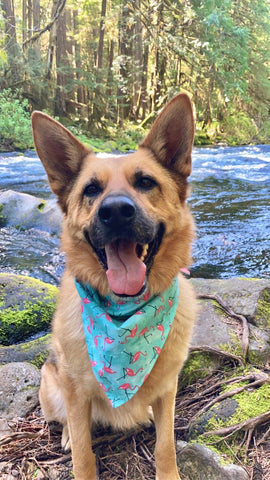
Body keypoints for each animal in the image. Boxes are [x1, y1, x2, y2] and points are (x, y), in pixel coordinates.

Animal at [31, 92, 197, 478]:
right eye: (91, 189)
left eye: (146, 182)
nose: (117, 211)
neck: (126, 313)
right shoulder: (76, 394)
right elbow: (83, 452)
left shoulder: (168, 389)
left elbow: (166, 445)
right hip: (53, 385)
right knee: (66, 422)